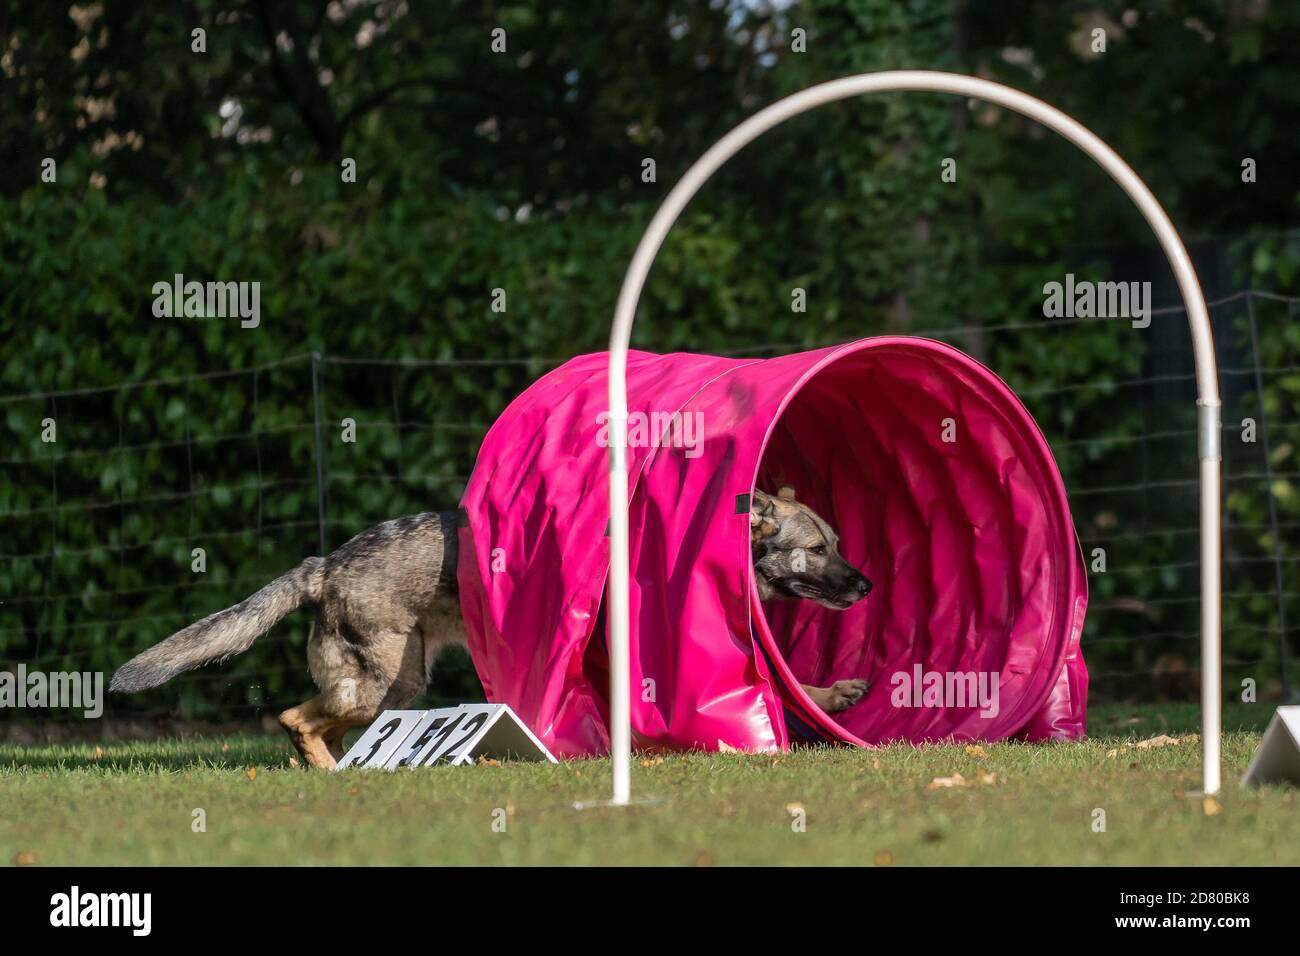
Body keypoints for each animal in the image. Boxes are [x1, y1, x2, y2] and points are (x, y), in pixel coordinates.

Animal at [114, 489, 873, 764]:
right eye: (819, 547)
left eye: (839, 540)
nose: (867, 585)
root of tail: (325, 563)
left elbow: (794, 684)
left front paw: (833, 697)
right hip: (383, 684)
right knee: (293, 717)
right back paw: (332, 772)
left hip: (390, 688)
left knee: (311, 723)